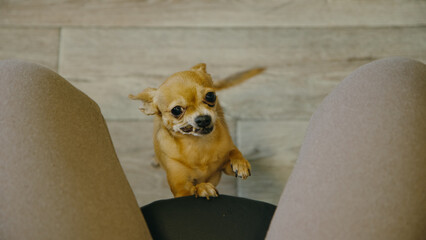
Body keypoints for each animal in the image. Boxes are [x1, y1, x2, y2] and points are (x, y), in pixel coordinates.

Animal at [129, 63, 262, 199]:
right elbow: (191, 189)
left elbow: (233, 151)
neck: (198, 144)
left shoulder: (223, 167)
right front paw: (202, 188)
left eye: (210, 96)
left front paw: (240, 162)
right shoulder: (180, 189)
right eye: (176, 110)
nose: (203, 119)